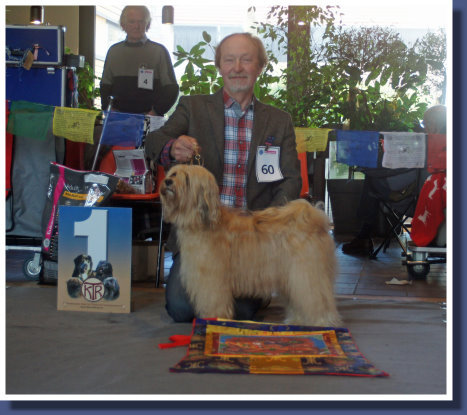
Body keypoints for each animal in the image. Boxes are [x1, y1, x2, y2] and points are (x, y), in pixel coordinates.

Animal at [159, 164, 342, 326]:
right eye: (173, 173)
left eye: (187, 179)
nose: (167, 181)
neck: (202, 222)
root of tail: (315, 220)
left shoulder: (213, 280)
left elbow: (214, 303)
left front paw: (213, 321)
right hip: (292, 277)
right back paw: (297, 321)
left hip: (306, 274)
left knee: (318, 299)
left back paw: (323, 322)